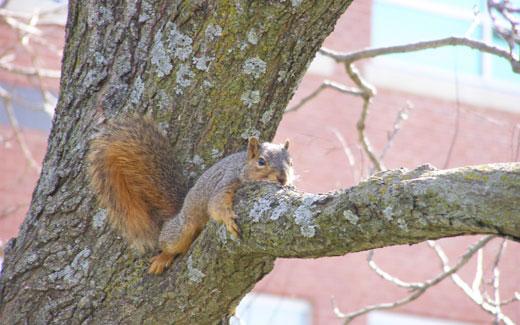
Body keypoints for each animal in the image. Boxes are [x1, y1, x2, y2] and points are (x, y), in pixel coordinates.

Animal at [87, 116, 294, 274]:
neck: (242, 167)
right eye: (261, 161)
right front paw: (229, 220)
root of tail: (179, 210)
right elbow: (216, 205)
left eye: (290, 162)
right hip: (183, 227)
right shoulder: (226, 182)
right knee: (169, 242)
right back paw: (163, 257)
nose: (283, 178)